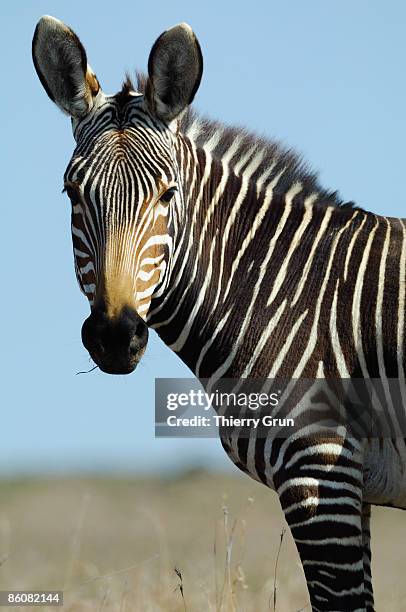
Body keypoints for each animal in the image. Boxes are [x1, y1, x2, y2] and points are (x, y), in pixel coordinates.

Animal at [31, 15, 406, 612]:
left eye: (167, 194)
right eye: (72, 193)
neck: (282, 288)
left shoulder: (319, 467)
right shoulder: (353, 483)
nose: (114, 335)